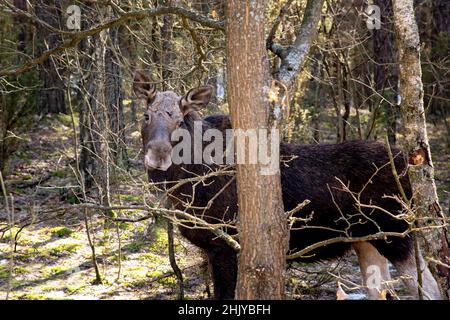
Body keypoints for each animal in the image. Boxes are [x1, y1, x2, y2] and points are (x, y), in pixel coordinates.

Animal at [132, 70, 442, 300]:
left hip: (398, 233)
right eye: (146, 116)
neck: (184, 187)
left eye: (179, 120)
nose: (157, 156)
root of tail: (408, 164)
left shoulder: (224, 246)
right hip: (366, 239)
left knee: (430, 287)